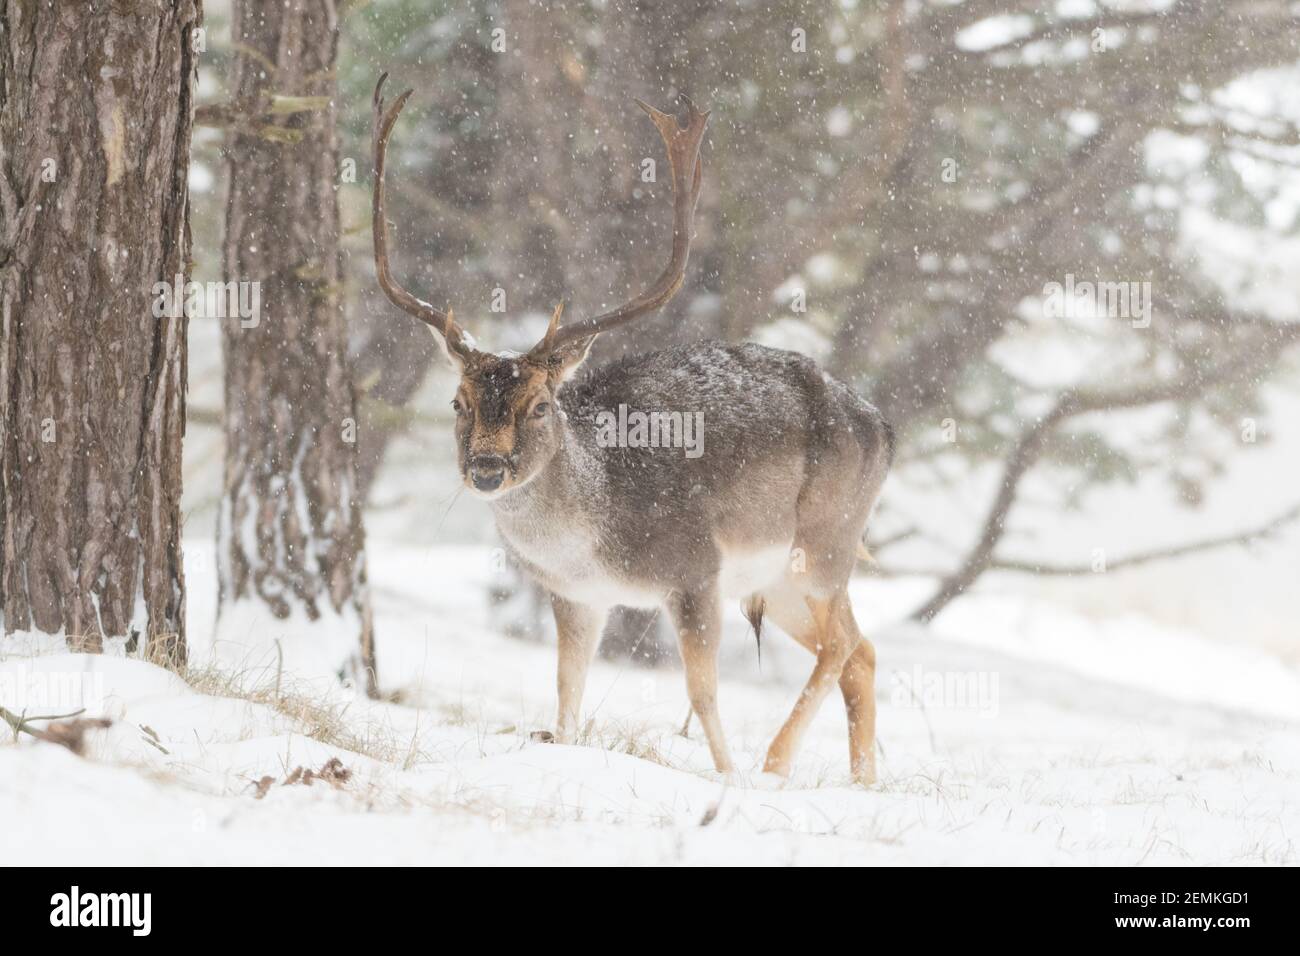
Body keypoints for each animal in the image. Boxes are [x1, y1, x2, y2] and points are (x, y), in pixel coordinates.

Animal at [371, 74, 889, 790]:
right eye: (457, 401)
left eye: (540, 405)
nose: (486, 468)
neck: (591, 537)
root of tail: (882, 425)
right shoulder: (575, 596)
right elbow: (566, 694)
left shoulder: (694, 570)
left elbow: (703, 693)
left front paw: (728, 780)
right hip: (779, 580)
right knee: (863, 648)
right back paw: (864, 781)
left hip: (825, 541)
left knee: (841, 643)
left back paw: (774, 763)